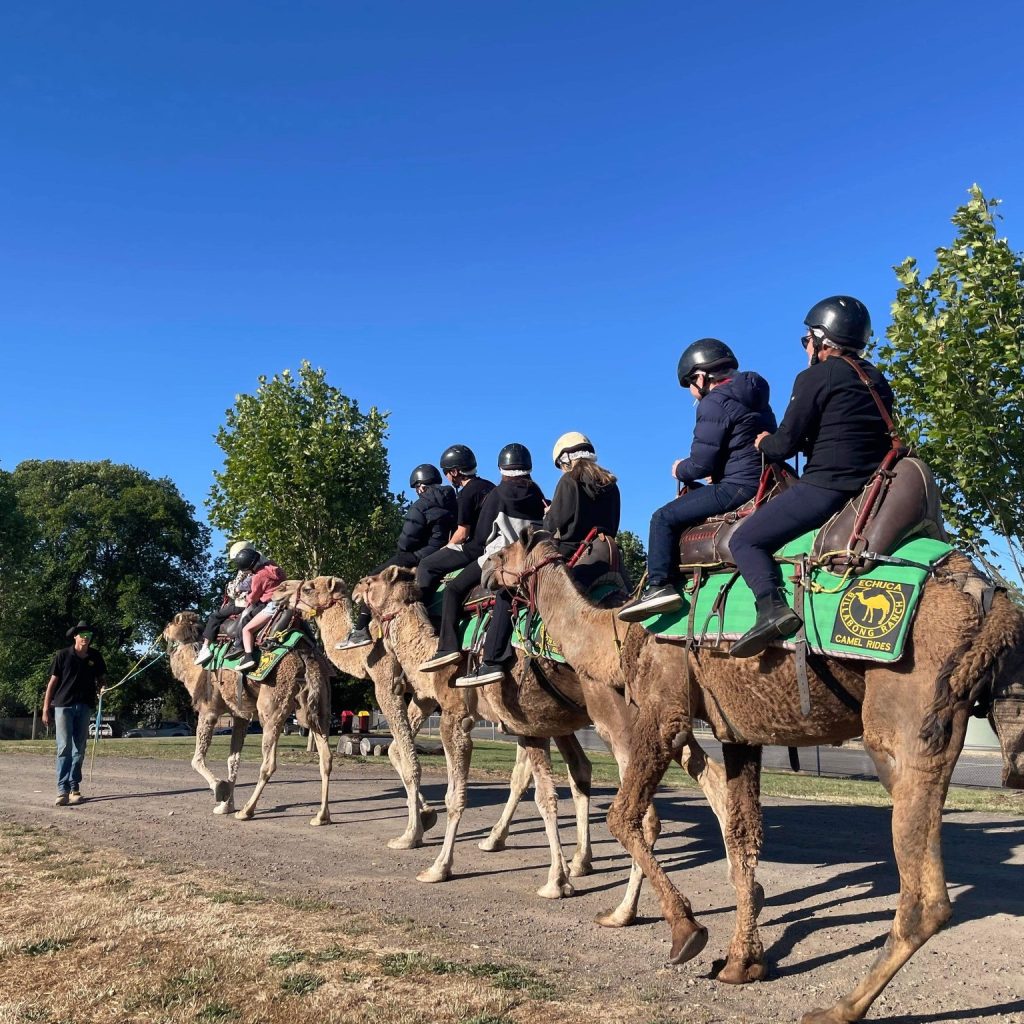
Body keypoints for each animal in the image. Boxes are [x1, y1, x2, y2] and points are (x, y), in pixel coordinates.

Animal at [163, 611, 333, 825]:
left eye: (170, 625)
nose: (163, 632)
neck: (194, 667)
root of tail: (306, 656)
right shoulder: (240, 716)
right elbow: (233, 760)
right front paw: (225, 805)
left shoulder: (208, 710)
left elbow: (196, 759)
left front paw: (220, 789)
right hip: (318, 706)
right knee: (326, 758)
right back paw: (321, 816)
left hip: (272, 707)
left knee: (269, 763)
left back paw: (246, 811)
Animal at [352, 565, 734, 912]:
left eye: (371, 581)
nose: (356, 587)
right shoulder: (531, 726)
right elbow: (547, 794)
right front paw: (562, 875)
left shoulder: (456, 716)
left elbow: (456, 796)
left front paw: (438, 867)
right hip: (664, 718)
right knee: (712, 779)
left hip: (620, 721)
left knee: (645, 814)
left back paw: (627, 909)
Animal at [487, 528, 1024, 1023]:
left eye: (499, 552)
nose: (483, 579)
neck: (618, 632)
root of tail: (994, 602)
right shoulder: (737, 732)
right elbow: (741, 834)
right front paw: (742, 963)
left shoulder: (664, 710)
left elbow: (623, 816)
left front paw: (686, 933)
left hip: (906, 717)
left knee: (926, 897)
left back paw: (839, 1009)